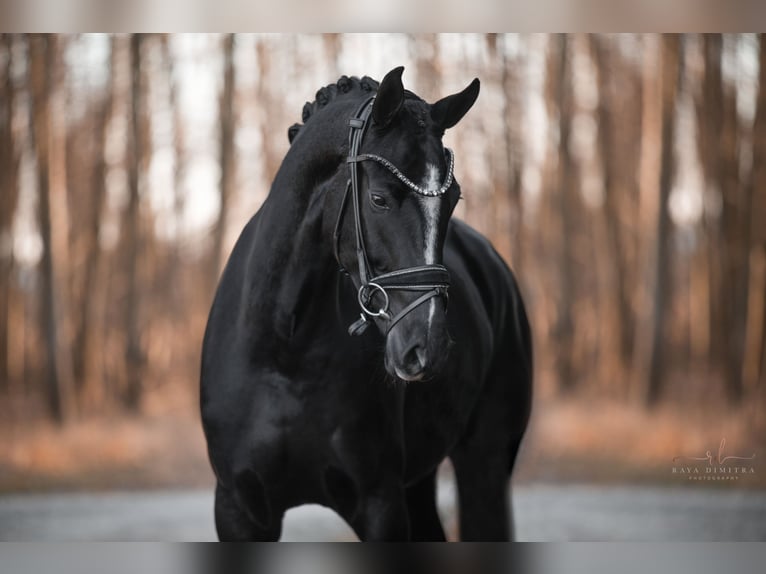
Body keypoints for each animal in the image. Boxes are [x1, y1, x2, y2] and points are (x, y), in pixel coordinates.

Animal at [201, 67, 532, 544]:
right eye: (379, 199)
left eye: (453, 199)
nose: (426, 348)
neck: (284, 350)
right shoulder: (238, 510)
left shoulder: (380, 504)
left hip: (483, 461)